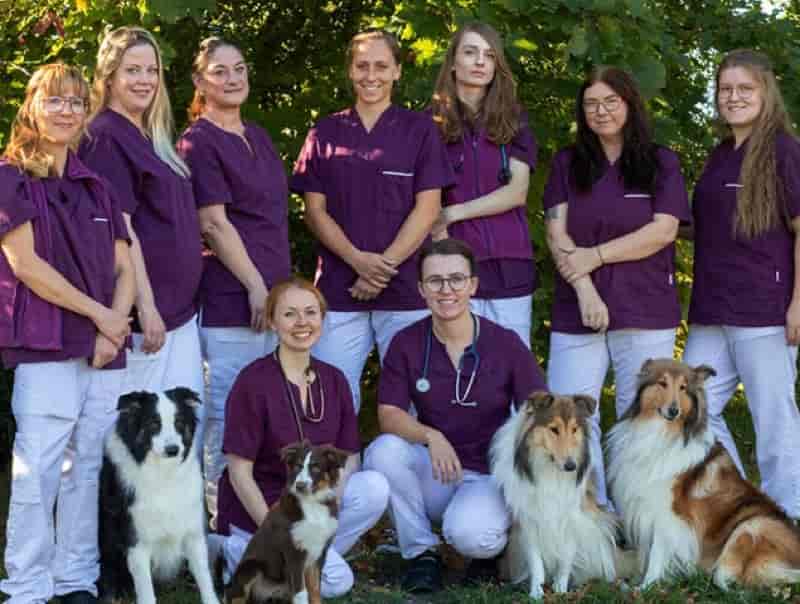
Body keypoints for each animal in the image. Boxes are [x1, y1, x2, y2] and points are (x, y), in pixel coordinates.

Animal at [98, 388, 219, 604]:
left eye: (179, 423)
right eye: (154, 424)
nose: (173, 450)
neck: (164, 473)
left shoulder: (193, 531)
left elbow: (204, 577)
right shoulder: (136, 539)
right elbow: (146, 590)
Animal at [225, 440, 349, 604]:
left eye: (316, 468)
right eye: (297, 466)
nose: (300, 485)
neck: (312, 503)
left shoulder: (319, 552)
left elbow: (315, 590)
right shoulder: (293, 553)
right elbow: (301, 593)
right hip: (251, 568)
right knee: (233, 596)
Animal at [491, 391, 634, 599]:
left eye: (574, 429)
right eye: (554, 429)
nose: (570, 466)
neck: (551, 471)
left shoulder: (573, 517)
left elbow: (566, 557)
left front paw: (561, 588)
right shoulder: (529, 521)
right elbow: (535, 561)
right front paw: (536, 591)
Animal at [606, 358, 800, 589]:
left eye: (683, 387)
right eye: (662, 383)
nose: (674, 411)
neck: (663, 432)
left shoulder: (666, 515)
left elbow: (656, 553)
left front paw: (646, 586)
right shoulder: (644, 508)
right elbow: (646, 550)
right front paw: (637, 580)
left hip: (751, 525)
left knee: (734, 576)